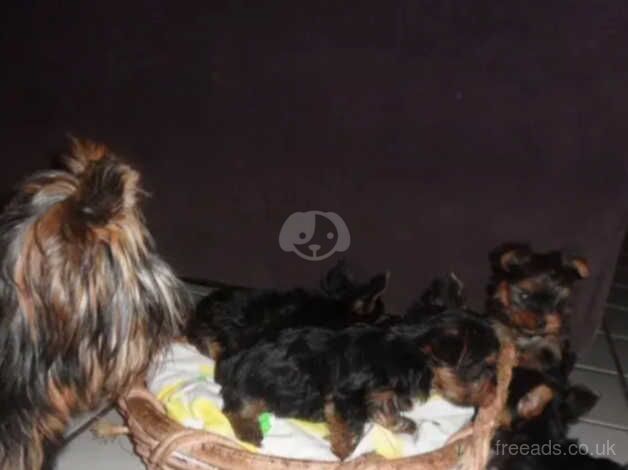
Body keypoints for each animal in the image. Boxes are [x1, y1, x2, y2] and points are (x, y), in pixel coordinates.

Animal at [216, 310, 500, 460]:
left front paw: (403, 425)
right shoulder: (347, 397)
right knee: (234, 407)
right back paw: (248, 430)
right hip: (255, 385)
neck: (411, 353)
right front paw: (344, 454)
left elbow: (385, 412)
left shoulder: (380, 395)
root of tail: (233, 360)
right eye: (484, 367)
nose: (495, 393)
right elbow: (348, 427)